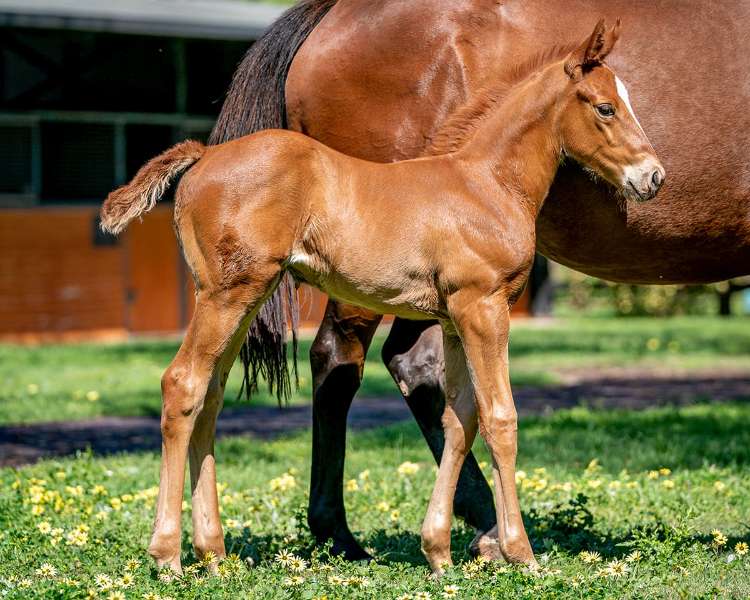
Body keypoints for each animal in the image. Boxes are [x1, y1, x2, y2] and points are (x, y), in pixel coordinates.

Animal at [101, 20, 664, 574]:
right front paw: (520, 552)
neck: (485, 183)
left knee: (211, 394)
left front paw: (438, 551)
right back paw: (167, 555)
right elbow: (500, 417)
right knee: (183, 384)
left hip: (242, 297)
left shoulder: (456, 318)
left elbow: (460, 418)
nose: (653, 176)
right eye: (605, 107)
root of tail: (204, 154)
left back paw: (213, 552)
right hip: (228, 294)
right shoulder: (483, 307)